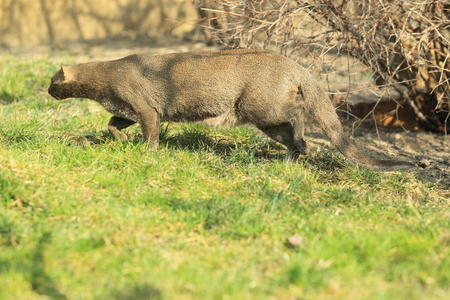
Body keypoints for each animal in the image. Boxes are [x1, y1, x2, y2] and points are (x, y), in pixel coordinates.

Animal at [47, 50, 414, 170]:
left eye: (52, 81)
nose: (47, 91)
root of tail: (294, 64)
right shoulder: (126, 110)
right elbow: (112, 124)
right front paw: (120, 141)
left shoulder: (145, 108)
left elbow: (150, 133)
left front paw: (147, 152)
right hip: (266, 120)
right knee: (295, 140)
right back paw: (288, 160)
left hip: (259, 107)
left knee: (297, 118)